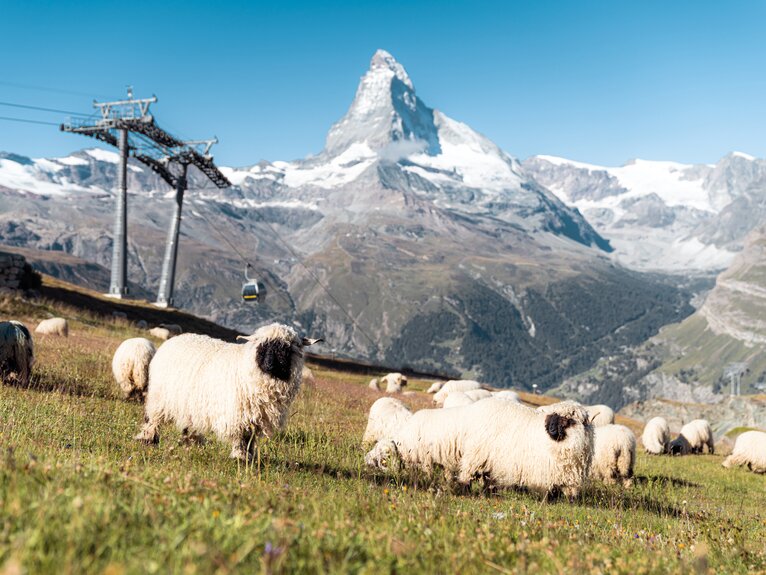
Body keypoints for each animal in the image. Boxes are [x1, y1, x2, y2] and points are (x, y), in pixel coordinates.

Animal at [135, 323, 321, 461]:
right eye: (262, 347)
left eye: (285, 350)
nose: (269, 365)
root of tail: (174, 339)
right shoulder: (238, 414)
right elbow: (240, 437)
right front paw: (240, 457)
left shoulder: (256, 416)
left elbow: (250, 439)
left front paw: (248, 457)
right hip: (160, 397)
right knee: (153, 419)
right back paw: (148, 439)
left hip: (190, 402)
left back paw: (192, 442)